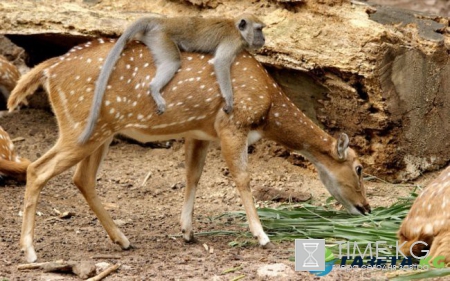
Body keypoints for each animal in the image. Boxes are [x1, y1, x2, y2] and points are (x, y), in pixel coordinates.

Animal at [8, 37, 370, 262]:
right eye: (359, 168)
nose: (366, 208)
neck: (268, 107)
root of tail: (48, 69)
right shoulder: (231, 124)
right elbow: (242, 178)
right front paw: (261, 235)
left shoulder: (201, 132)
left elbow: (192, 176)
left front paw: (187, 232)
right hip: (81, 125)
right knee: (37, 169)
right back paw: (30, 251)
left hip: (100, 131)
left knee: (81, 178)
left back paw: (123, 240)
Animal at [79, 14, 266, 143]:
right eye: (259, 29)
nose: (264, 38)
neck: (237, 29)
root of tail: (163, 21)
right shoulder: (233, 41)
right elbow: (220, 63)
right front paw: (229, 100)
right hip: (162, 38)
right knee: (173, 61)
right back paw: (154, 89)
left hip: (154, 39)